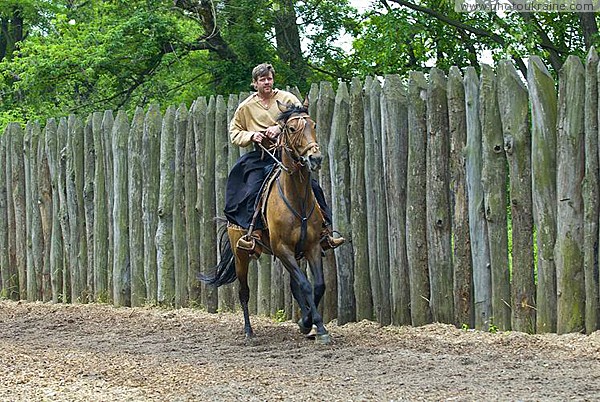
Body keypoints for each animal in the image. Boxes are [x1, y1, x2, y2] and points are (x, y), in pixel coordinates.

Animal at [203, 99, 332, 342]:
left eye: (314, 125)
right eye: (291, 128)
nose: (315, 158)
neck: (296, 198)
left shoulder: (311, 246)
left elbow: (317, 285)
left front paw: (308, 322)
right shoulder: (282, 249)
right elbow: (305, 285)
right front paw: (315, 325)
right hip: (241, 255)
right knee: (244, 292)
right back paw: (248, 332)